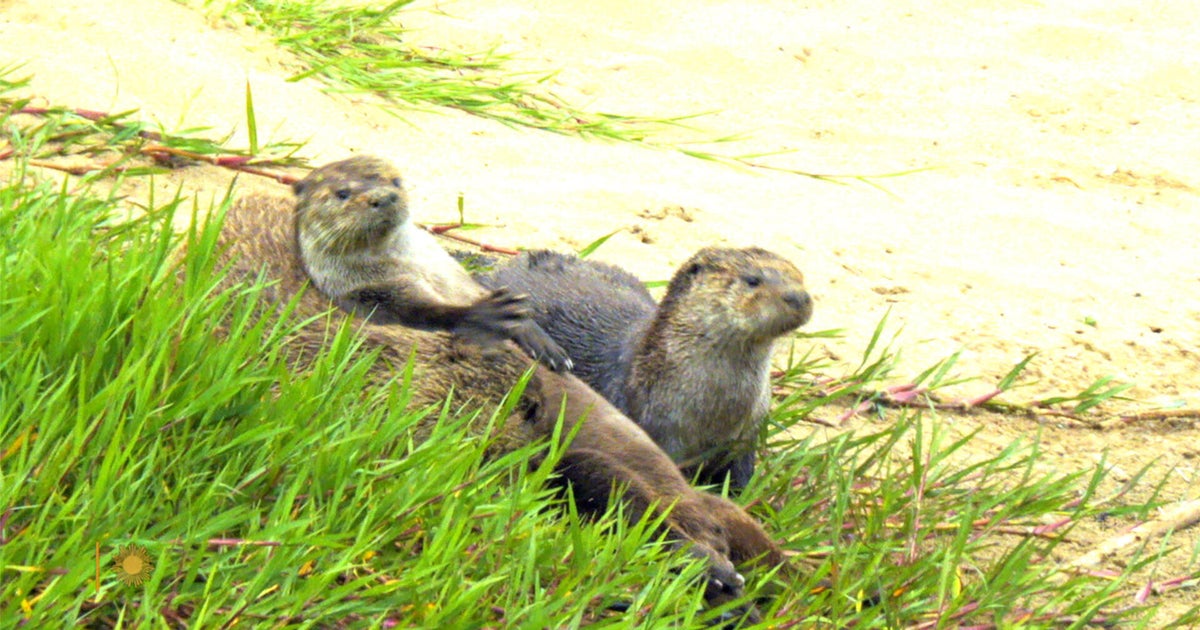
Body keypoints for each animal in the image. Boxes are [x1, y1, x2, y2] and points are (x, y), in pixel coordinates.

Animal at [293, 155, 570, 372]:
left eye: (395, 182)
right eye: (342, 193)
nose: (384, 197)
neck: (414, 267)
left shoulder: (458, 278)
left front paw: (537, 337)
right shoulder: (371, 294)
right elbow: (427, 314)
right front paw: (487, 313)